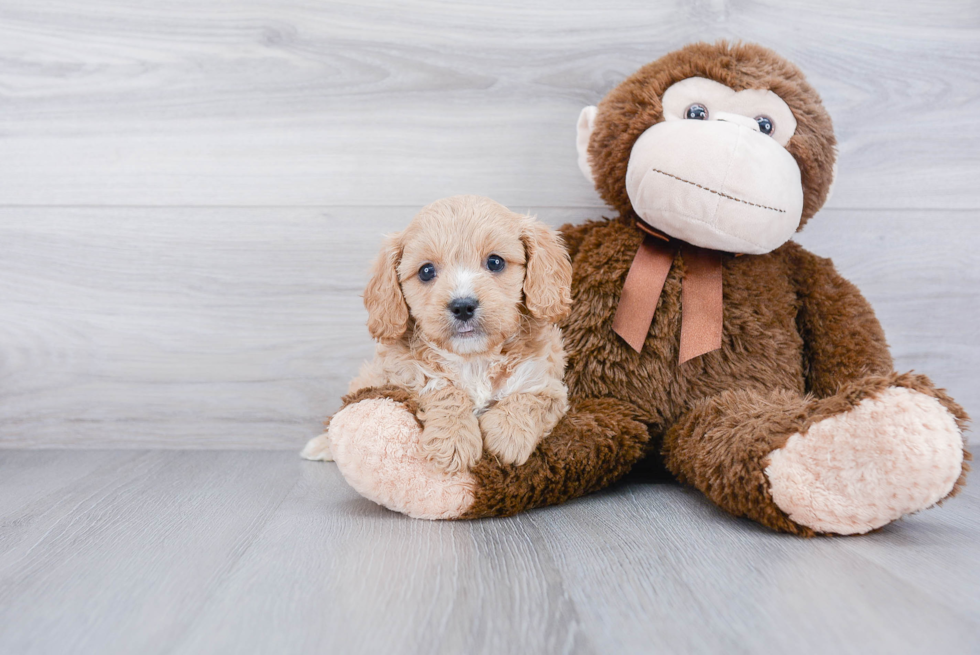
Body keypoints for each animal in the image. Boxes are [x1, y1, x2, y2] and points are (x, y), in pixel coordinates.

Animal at [300, 197, 576, 474]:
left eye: (495, 262)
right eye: (426, 271)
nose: (462, 306)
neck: (473, 359)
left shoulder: (549, 383)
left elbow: (531, 398)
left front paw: (508, 435)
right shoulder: (401, 376)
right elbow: (443, 389)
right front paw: (453, 441)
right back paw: (322, 445)